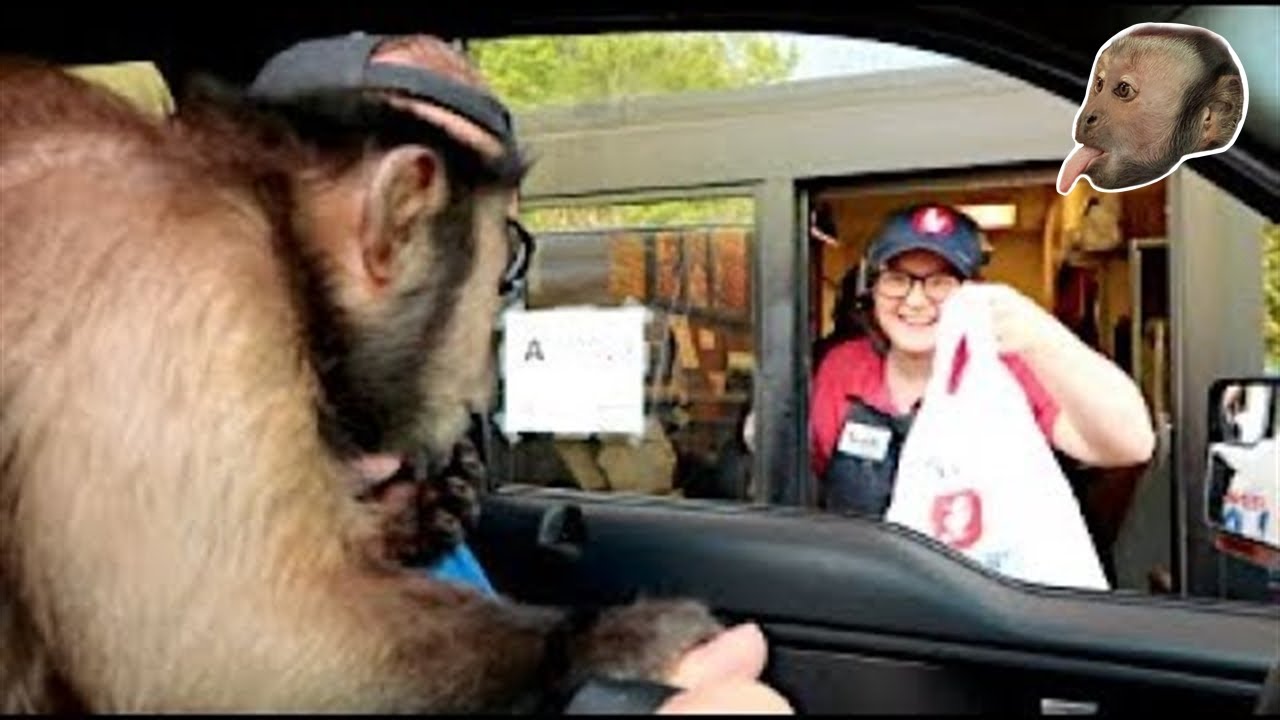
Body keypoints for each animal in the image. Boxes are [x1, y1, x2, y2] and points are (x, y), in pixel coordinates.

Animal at [0, 35, 725, 713]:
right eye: (503, 262)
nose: (491, 350)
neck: (267, 207)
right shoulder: (179, 270)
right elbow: (229, 638)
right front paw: (616, 641)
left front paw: (416, 510)